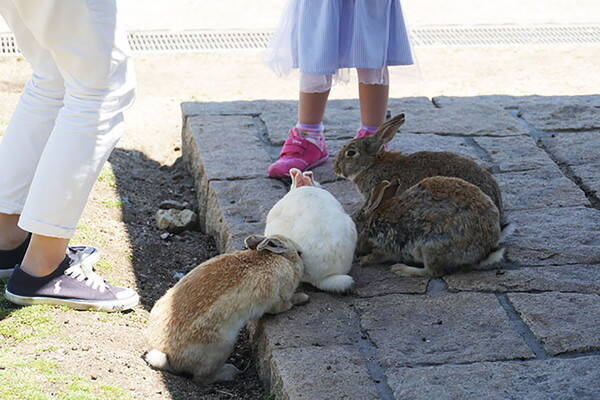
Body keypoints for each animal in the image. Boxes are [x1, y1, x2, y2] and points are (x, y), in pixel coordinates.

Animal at [144, 234, 308, 384]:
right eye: (299, 253)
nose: (304, 260)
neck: (281, 259)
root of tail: (167, 354)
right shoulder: (276, 300)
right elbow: (284, 305)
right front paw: (303, 298)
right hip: (221, 346)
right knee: (201, 378)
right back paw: (231, 372)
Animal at [356, 178, 506, 278]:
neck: (368, 224)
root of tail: (484, 252)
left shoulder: (385, 244)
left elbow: (377, 255)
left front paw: (363, 261)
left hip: (431, 246)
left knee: (433, 272)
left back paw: (400, 269)